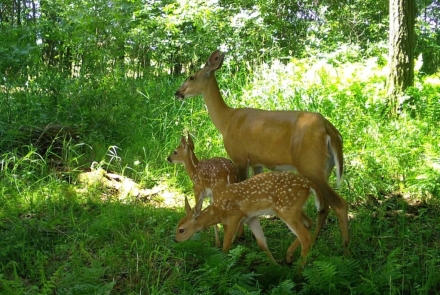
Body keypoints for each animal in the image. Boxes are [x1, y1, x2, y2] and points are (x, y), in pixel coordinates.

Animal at [174, 172, 324, 268]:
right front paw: (276, 266)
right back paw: (289, 257)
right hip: (295, 209)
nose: (176, 240)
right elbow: (262, 243)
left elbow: (226, 245)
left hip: (286, 210)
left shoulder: (235, 216)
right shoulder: (251, 218)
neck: (218, 211)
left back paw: (298, 272)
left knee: (306, 238)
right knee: (309, 224)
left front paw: (223, 264)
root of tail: (309, 184)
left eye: (181, 230)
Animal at [175, 49, 350, 256]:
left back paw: (345, 248)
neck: (227, 121)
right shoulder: (257, 162)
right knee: (324, 208)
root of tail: (330, 129)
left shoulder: (240, 157)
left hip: (311, 165)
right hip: (326, 168)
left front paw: (239, 235)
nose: (177, 92)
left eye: (191, 76)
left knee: (339, 204)